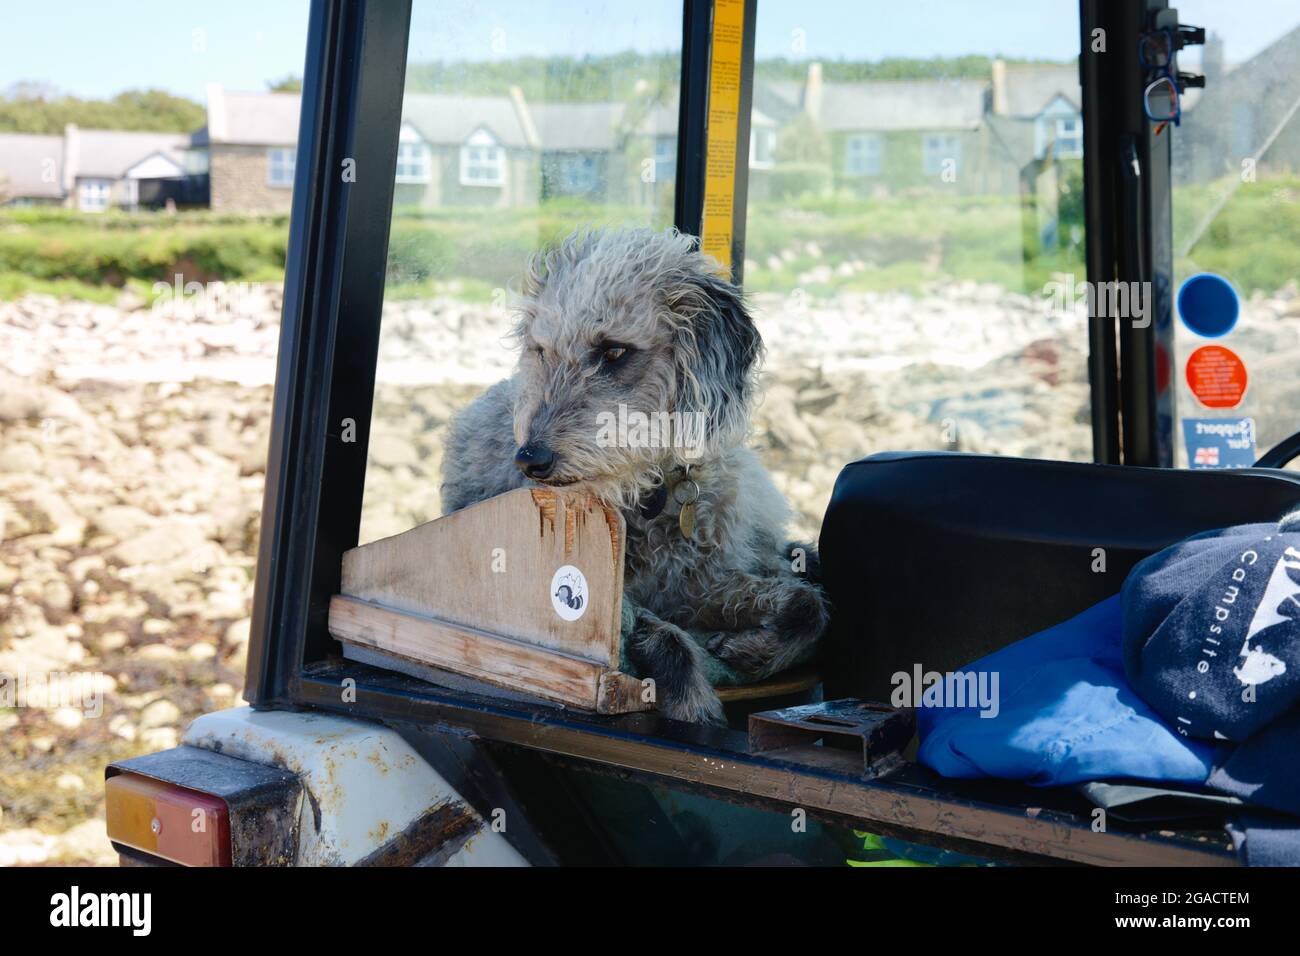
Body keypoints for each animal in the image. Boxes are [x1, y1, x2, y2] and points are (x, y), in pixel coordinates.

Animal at [441, 227, 832, 723]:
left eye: (614, 350)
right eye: (542, 351)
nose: (530, 459)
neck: (653, 491)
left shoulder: (699, 585)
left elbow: (807, 604)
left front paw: (752, 648)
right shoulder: (633, 598)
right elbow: (662, 639)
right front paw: (690, 699)